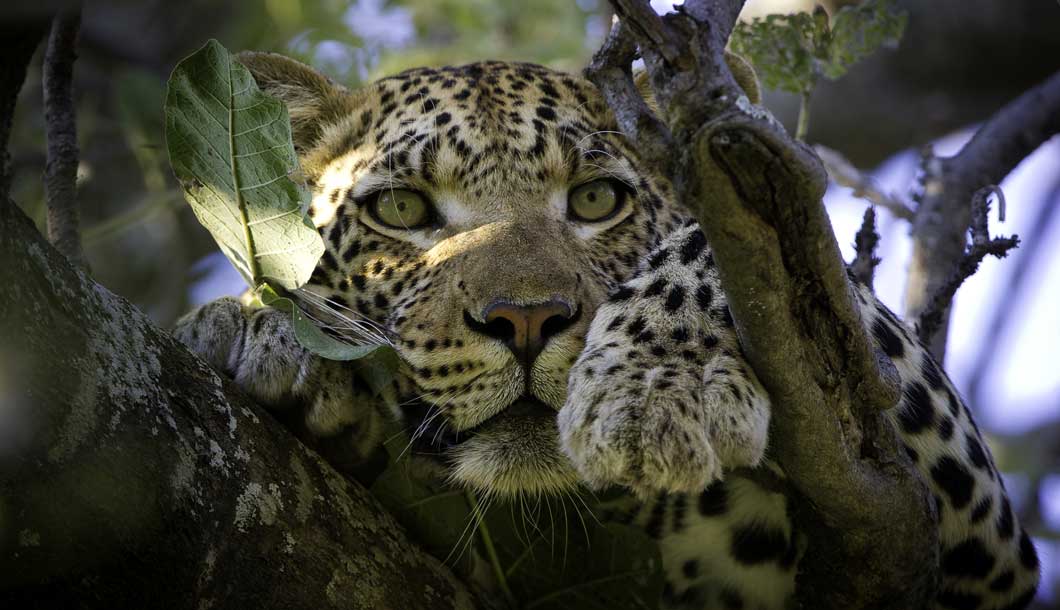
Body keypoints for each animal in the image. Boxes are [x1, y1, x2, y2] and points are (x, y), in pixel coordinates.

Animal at [173, 51, 1040, 610]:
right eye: (400, 209)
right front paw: (252, 327)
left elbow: (710, 243)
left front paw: (655, 390)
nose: (525, 320)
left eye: (596, 201)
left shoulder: (980, 536)